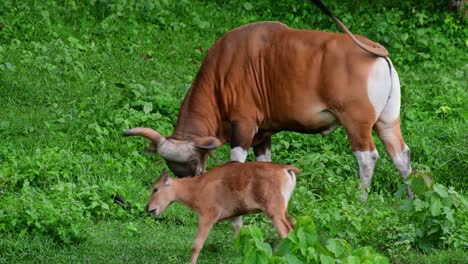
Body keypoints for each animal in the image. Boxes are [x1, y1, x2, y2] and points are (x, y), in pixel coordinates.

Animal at [146, 162, 300, 262]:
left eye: (155, 189)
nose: (147, 208)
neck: (196, 188)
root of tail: (284, 168)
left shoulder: (207, 217)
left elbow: (196, 245)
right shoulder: (236, 217)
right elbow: (239, 241)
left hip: (275, 212)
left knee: (287, 233)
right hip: (284, 211)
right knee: (294, 227)